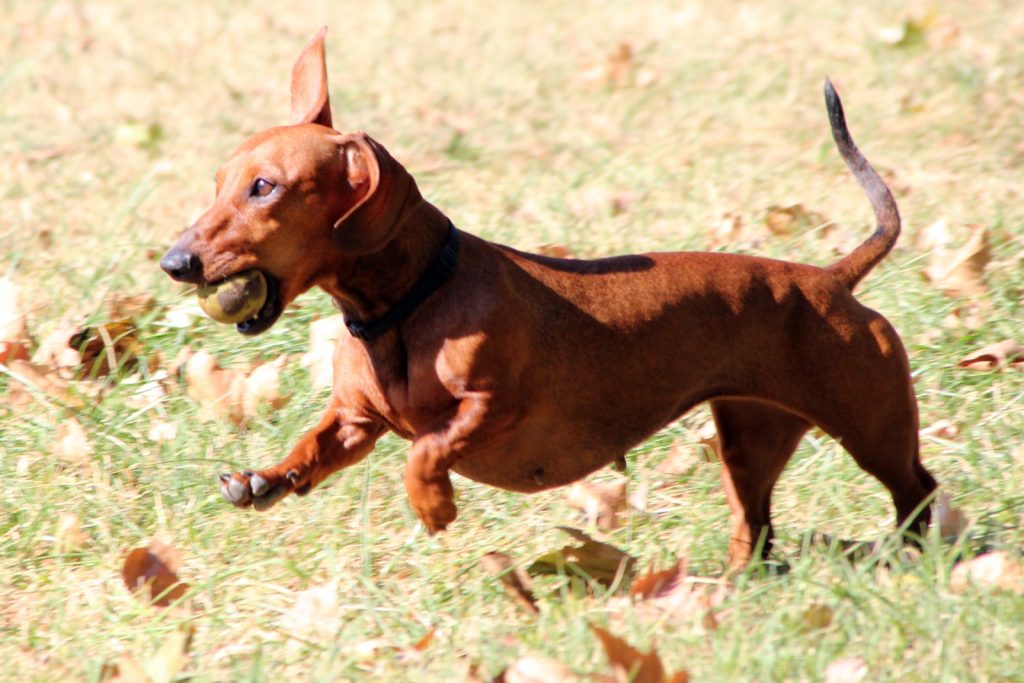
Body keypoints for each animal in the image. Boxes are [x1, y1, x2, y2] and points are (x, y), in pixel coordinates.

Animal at [160, 28, 937, 568]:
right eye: (219, 181)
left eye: (265, 187)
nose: (175, 262)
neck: (409, 305)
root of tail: (830, 279)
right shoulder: (356, 420)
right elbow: (317, 445)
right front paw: (265, 478)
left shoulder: (493, 406)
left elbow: (428, 448)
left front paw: (433, 503)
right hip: (749, 437)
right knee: (757, 522)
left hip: (872, 426)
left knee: (917, 488)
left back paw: (917, 557)